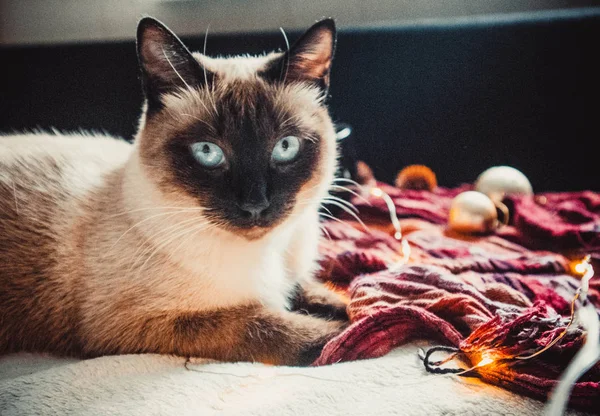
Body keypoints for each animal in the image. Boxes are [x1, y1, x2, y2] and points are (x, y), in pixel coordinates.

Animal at [1, 17, 346, 366]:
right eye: (208, 152)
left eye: (285, 147)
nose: (255, 205)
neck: (267, 252)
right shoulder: (134, 324)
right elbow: (258, 322)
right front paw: (340, 336)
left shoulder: (293, 277)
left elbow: (319, 291)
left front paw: (350, 309)